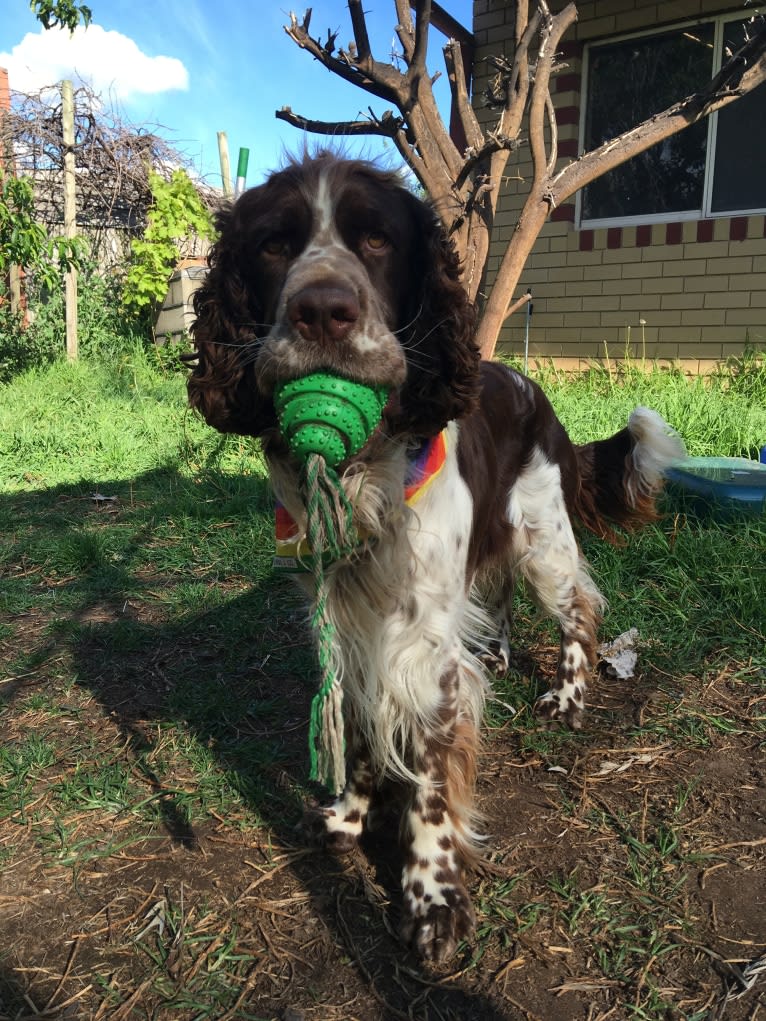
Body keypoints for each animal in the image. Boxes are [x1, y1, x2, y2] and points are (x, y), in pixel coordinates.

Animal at [187, 153, 682, 963]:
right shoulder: (344, 619)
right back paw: (504, 655)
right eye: (272, 245)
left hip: (543, 540)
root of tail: (532, 389)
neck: (366, 475)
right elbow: (359, 724)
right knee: (497, 593)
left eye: (378, 240)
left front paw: (432, 896)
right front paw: (349, 817)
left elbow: (428, 777)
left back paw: (569, 696)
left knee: (579, 608)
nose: (322, 310)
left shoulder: (425, 647)